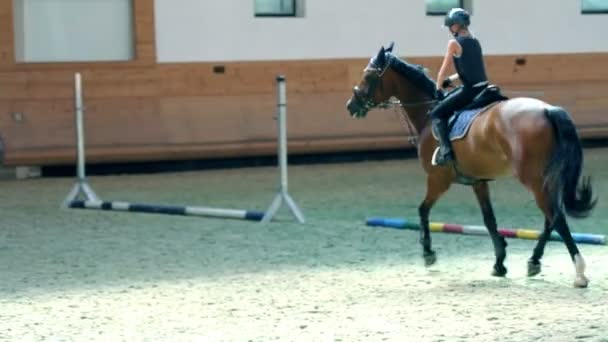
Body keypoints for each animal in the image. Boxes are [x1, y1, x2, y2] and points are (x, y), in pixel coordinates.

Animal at [346, 43, 600, 288]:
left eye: (368, 76)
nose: (351, 105)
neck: (428, 116)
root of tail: (548, 110)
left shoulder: (437, 180)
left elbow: (423, 210)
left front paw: (428, 252)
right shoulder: (478, 182)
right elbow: (489, 220)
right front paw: (499, 262)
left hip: (533, 179)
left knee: (556, 217)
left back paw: (579, 272)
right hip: (548, 178)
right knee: (551, 218)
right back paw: (533, 261)